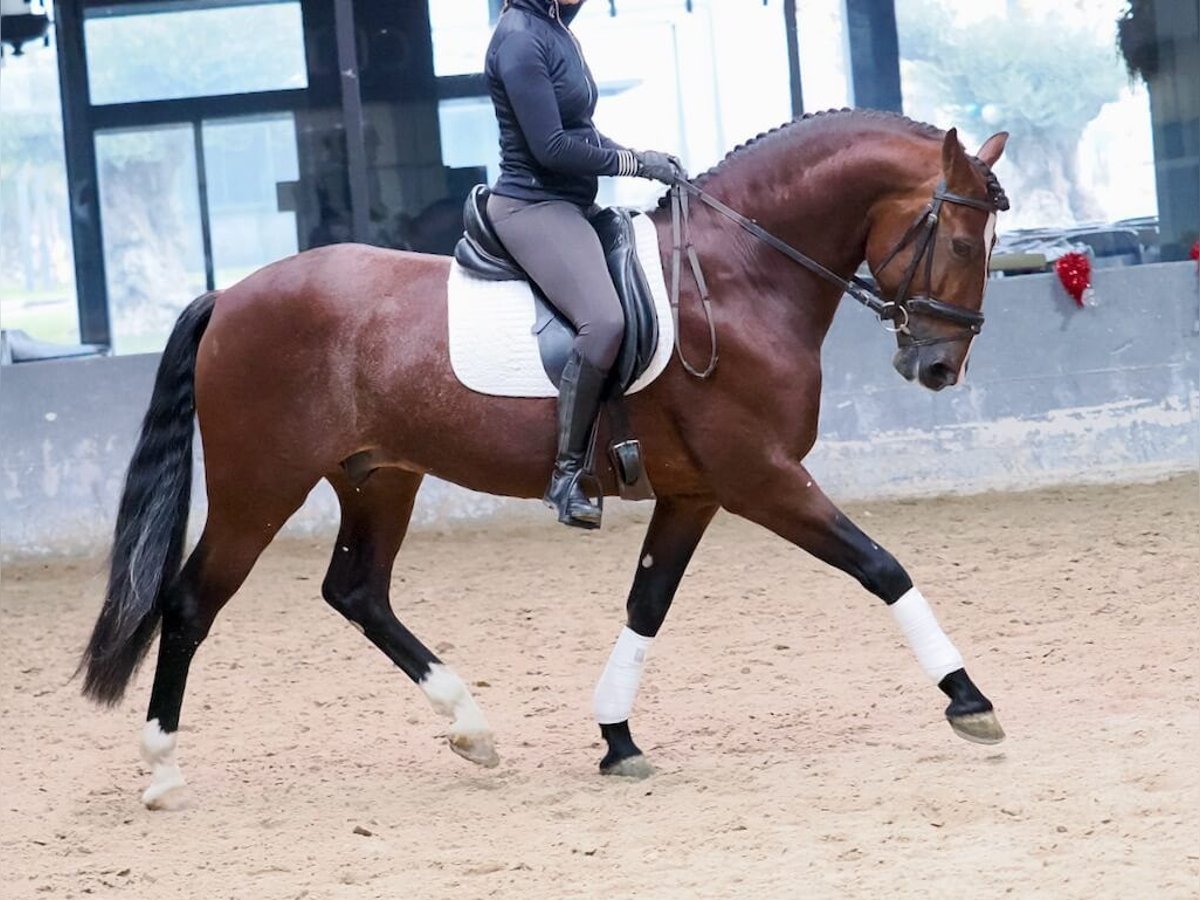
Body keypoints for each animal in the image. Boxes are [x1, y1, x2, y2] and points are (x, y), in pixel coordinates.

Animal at [79, 107, 1008, 811]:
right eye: (965, 245)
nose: (939, 368)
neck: (739, 278)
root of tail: (230, 295)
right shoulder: (762, 477)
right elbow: (880, 566)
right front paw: (969, 699)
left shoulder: (696, 493)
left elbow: (647, 604)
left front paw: (617, 738)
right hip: (260, 484)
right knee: (191, 603)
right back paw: (162, 771)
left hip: (379, 475)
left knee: (357, 591)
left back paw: (471, 729)